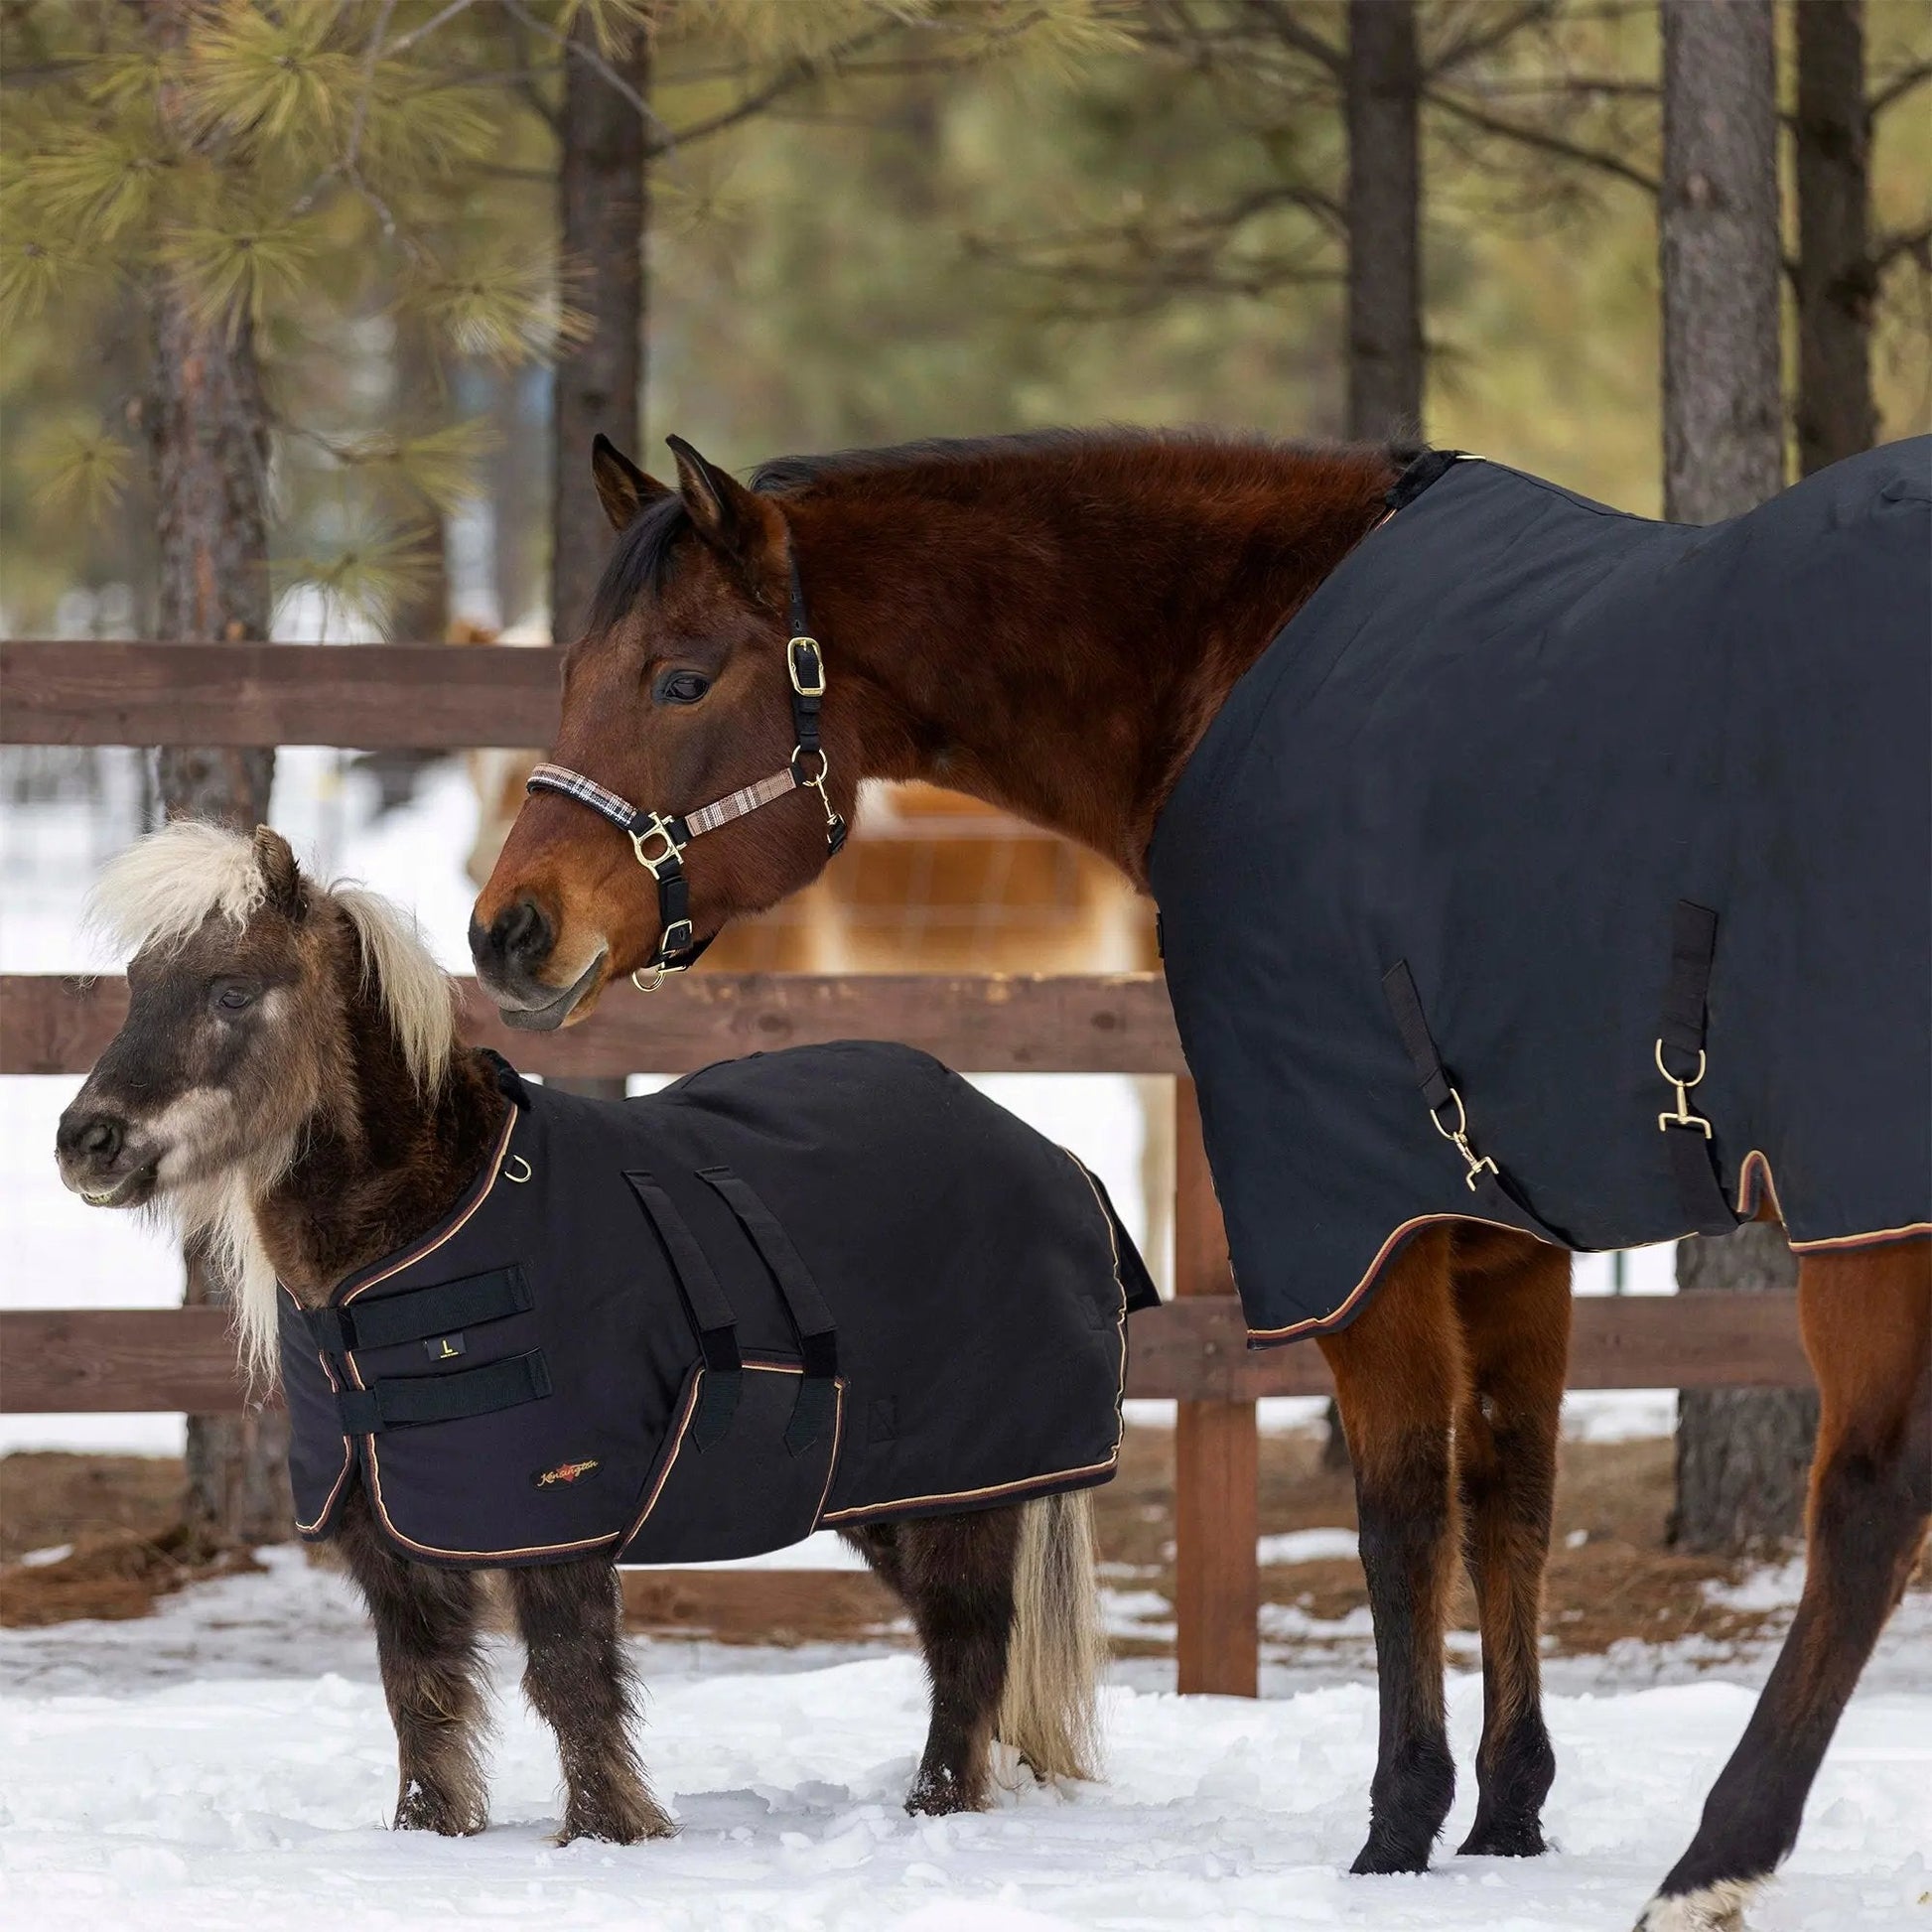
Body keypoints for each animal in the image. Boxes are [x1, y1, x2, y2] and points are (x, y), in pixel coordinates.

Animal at [54, 820, 1113, 1841]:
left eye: (232, 991)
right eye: (138, 985)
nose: (85, 1143)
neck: (422, 1236)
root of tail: (1039, 1148)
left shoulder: (556, 1525)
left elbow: (567, 1681)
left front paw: (608, 1834)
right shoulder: (384, 1534)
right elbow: (420, 1690)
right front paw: (427, 1834)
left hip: (966, 1490)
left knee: (967, 1641)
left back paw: (937, 1809)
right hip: (891, 1491)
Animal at [469, 426, 1930, 1931]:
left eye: (682, 676)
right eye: (570, 675)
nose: (508, 930)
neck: (1246, 647)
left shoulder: (1362, 1224)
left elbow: (1401, 1509)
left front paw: (1397, 1823)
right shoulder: (1499, 1225)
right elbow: (1508, 1497)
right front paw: (1509, 1810)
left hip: (1864, 1219)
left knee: (1865, 1510)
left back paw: (1715, 1859)